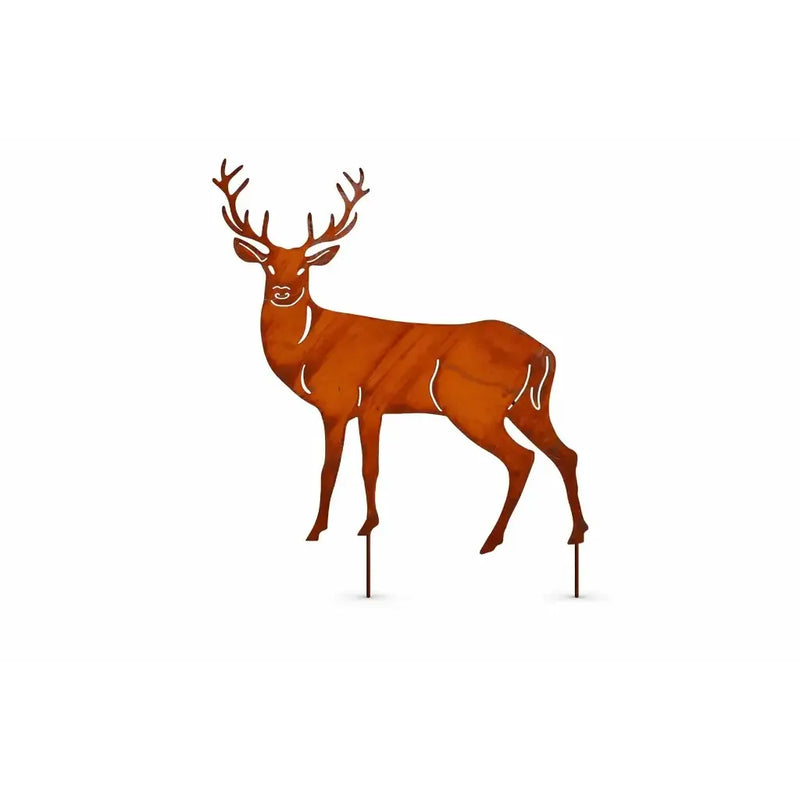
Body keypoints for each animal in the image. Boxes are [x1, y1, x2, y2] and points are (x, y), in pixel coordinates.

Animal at [212, 160, 588, 557]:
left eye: (303, 267)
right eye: (268, 265)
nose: (283, 291)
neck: (309, 348)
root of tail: (543, 352)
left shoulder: (340, 402)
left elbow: (337, 469)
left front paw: (323, 530)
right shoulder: (368, 407)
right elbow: (365, 466)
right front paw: (362, 525)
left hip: (473, 406)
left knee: (522, 459)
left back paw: (490, 541)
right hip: (529, 406)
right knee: (566, 454)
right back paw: (576, 532)